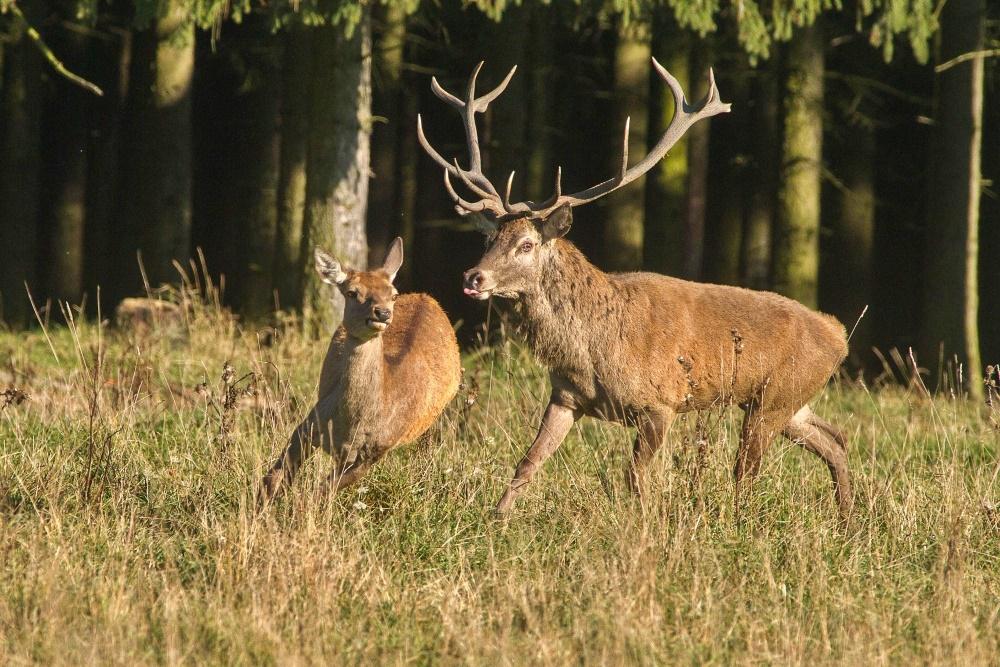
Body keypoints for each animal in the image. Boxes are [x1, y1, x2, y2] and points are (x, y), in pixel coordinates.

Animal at [258, 237, 460, 504]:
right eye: (352, 292)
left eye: (393, 294)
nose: (382, 313)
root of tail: (427, 297)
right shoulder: (310, 422)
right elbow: (273, 478)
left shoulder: (375, 452)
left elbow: (320, 493)